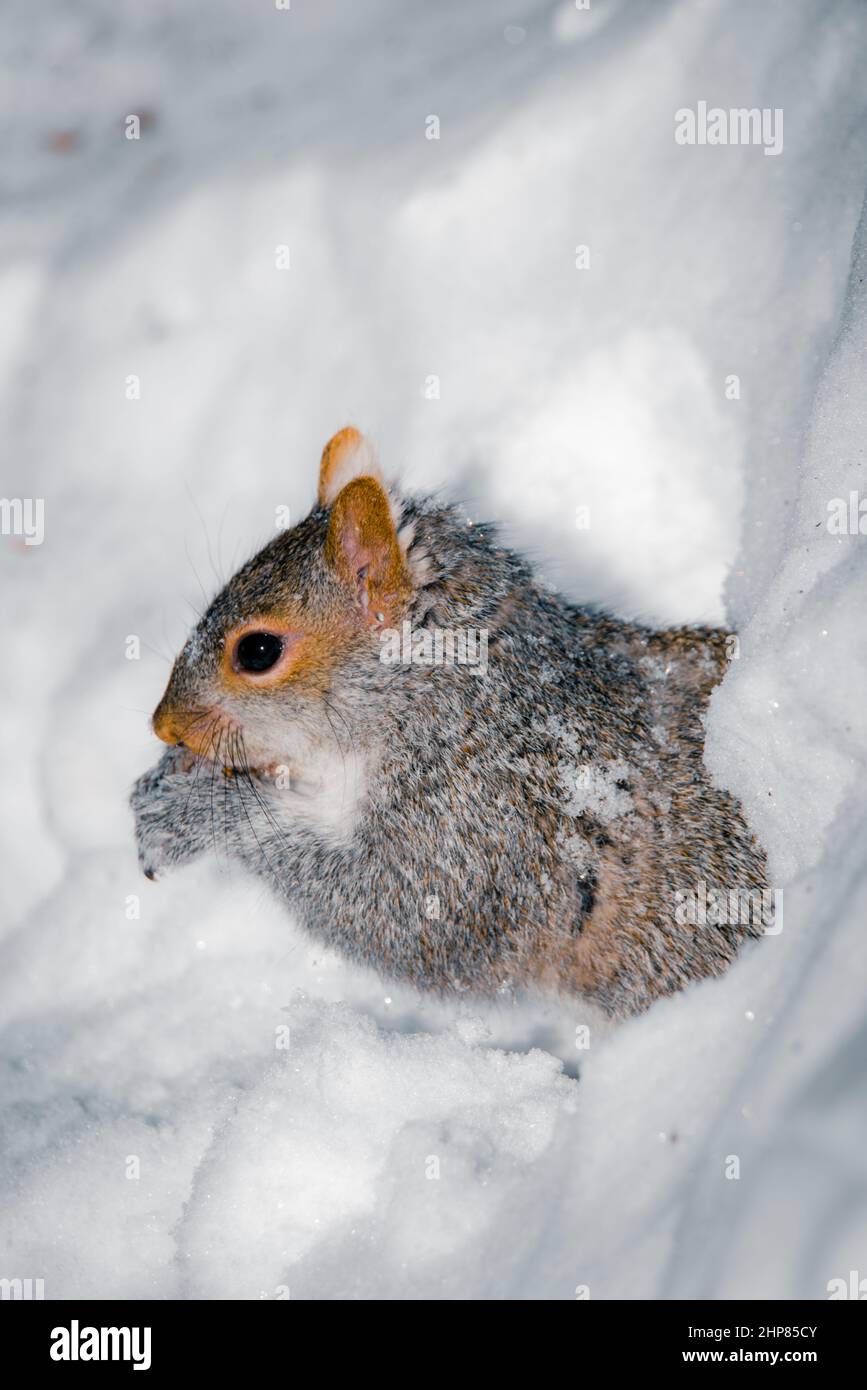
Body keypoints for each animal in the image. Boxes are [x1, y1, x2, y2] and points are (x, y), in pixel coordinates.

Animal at [131, 426, 769, 1018]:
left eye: (258, 651)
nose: (164, 726)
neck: (444, 700)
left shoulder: (484, 820)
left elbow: (408, 918)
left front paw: (189, 812)